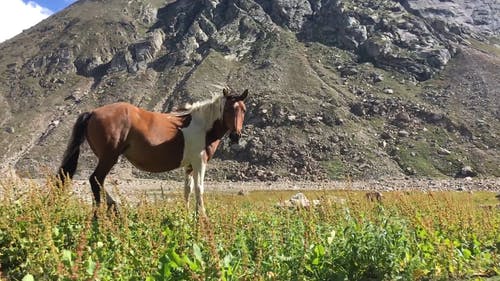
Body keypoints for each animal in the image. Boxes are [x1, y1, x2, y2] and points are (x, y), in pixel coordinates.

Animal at [56, 87, 248, 214]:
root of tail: (92, 113)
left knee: (98, 181)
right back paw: (103, 212)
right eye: (228, 109)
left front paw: (188, 216)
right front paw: (202, 217)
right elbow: (200, 189)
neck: (202, 125)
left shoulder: (189, 166)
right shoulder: (199, 162)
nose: (236, 136)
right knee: (95, 179)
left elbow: (188, 190)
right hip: (109, 158)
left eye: (244, 110)